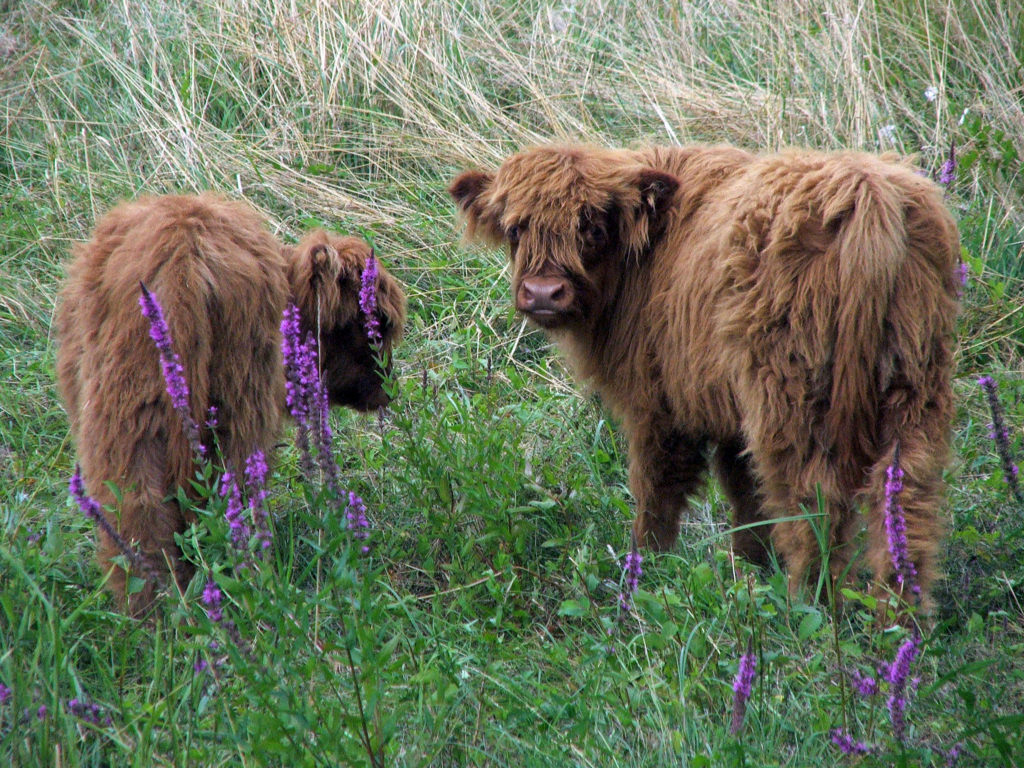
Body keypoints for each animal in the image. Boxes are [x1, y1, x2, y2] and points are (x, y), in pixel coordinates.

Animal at [450, 145, 958, 614]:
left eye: (592, 228)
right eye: (515, 229)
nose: (543, 293)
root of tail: (864, 194)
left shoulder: (660, 405)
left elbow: (657, 491)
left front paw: (645, 568)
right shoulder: (727, 412)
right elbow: (745, 493)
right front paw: (748, 566)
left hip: (791, 395)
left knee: (813, 495)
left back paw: (807, 603)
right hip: (914, 382)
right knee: (905, 496)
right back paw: (899, 615)